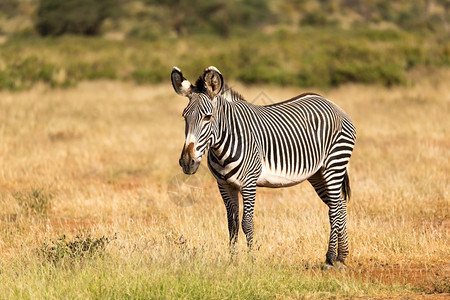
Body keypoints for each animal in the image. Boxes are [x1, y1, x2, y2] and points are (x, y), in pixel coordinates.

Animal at [171, 65, 356, 268]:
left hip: (334, 164)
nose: (187, 162)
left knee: (334, 210)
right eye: (184, 117)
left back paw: (330, 259)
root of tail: (331, 103)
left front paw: (251, 260)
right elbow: (232, 224)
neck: (224, 142)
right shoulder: (225, 185)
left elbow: (247, 223)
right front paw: (233, 262)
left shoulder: (249, 183)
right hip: (318, 174)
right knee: (340, 205)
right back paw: (341, 257)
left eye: (207, 117)